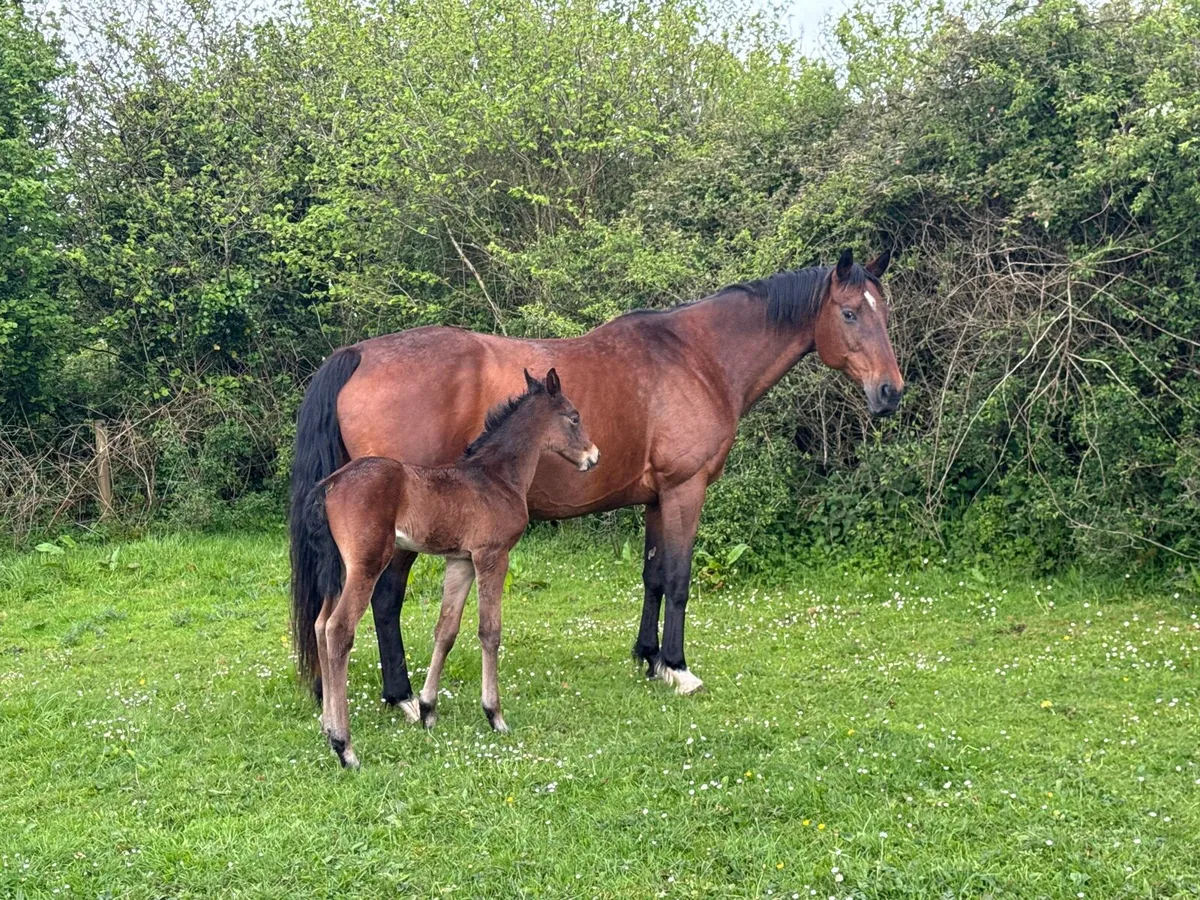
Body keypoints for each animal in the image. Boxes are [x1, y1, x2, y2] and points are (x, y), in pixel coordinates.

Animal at [290, 248, 903, 706]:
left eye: (886, 312)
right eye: (850, 313)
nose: (890, 392)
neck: (697, 357)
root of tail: (359, 353)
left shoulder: (656, 498)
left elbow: (654, 577)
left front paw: (649, 659)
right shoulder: (686, 490)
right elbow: (679, 579)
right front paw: (678, 667)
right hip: (398, 535)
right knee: (384, 600)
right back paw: (402, 697)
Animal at [303, 368, 599, 767]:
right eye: (574, 416)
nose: (594, 456)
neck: (496, 476)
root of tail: (330, 484)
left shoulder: (460, 560)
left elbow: (446, 630)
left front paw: (428, 710)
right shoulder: (492, 556)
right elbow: (490, 631)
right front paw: (495, 715)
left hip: (342, 569)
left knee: (320, 625)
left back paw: (327, 728)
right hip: (366, 565)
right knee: (338, 630)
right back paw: (344, 745)